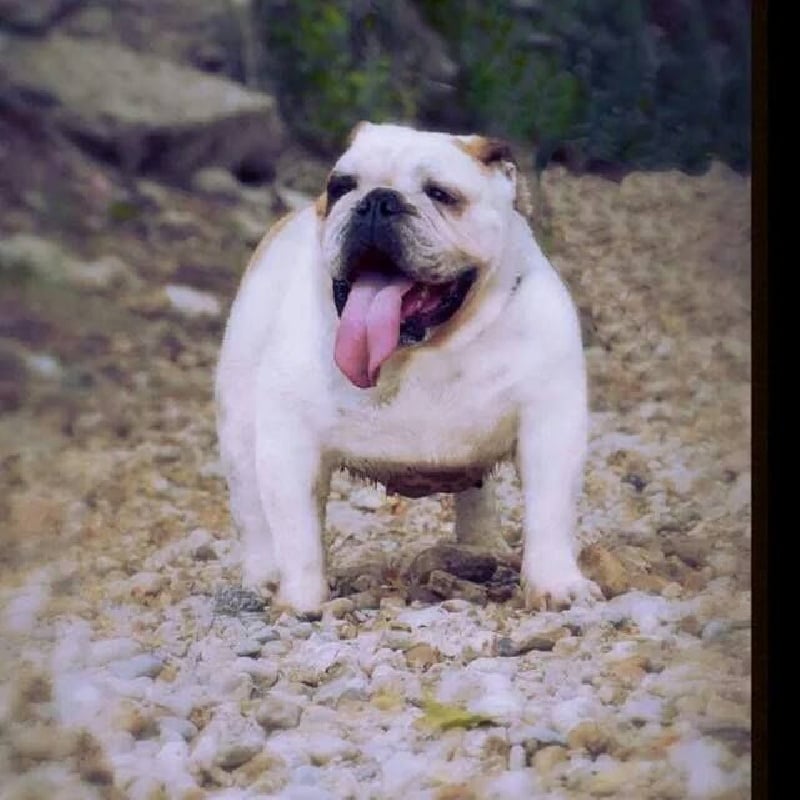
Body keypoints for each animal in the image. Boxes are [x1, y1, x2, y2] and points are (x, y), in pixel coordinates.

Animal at [215, 122, 600, 614]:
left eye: (440, 193)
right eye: (340, 186)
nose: (378, 200)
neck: (422, 348)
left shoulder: (550, 427)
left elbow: (550, 513)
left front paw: (555, 584)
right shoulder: (289, 444)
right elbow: (296, 531)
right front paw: (301, 599)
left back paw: (482, 546)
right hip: (241, 434)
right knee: (255, 516)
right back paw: (263, 579)